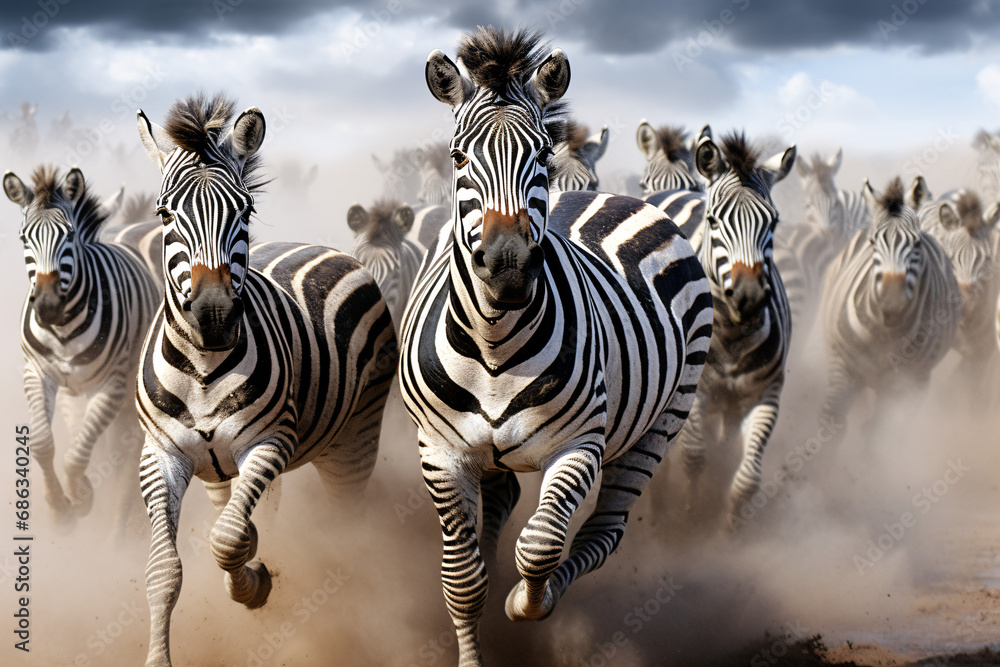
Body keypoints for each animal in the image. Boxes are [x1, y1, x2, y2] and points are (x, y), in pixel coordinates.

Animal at [3, 165, 159, 524]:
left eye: (69, 235)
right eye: (23, 238)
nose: (48, 306)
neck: (63, 331)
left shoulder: (110, 385)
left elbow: (78, 453)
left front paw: (80, 495)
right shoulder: (37, 374)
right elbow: (43, 444)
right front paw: (58, 506)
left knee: (125, 455)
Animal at [134, 93, 397, 667]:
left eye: (245, 210)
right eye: (164, 214)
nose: (213, 315)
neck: (202, 368)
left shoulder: (270, 441)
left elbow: (228, 539)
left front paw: (253, 585)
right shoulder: (160, 454)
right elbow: (164, 570)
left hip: (354, 440)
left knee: (348, 525)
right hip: (220, 469)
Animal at [401, 27, 713, 665]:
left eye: (541, 154)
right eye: (458, 157)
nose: (507, 265)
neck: (495, 347)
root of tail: (617, 195)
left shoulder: (579, 445)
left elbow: (541, 545)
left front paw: (525, 603)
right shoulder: (440, 453)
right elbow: (461, 580)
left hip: (665, 417)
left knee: (602, 532)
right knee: (502, 503)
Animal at [674, 131, 797, 527]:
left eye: (774, 222)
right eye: (713, 221)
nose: (749, 297)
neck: (731, 335)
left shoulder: (766, 393)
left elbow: (748, 479)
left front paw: (729, 530)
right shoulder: (690, 394)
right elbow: (693, 455)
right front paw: (688, 515)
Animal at [820, 177, 959, 438]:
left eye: (917, 243)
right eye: (873, 242)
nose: (892, 295)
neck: (886, 327)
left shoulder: (910, 384)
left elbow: (879, 434)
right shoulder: (842, 365)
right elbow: (833, 426)